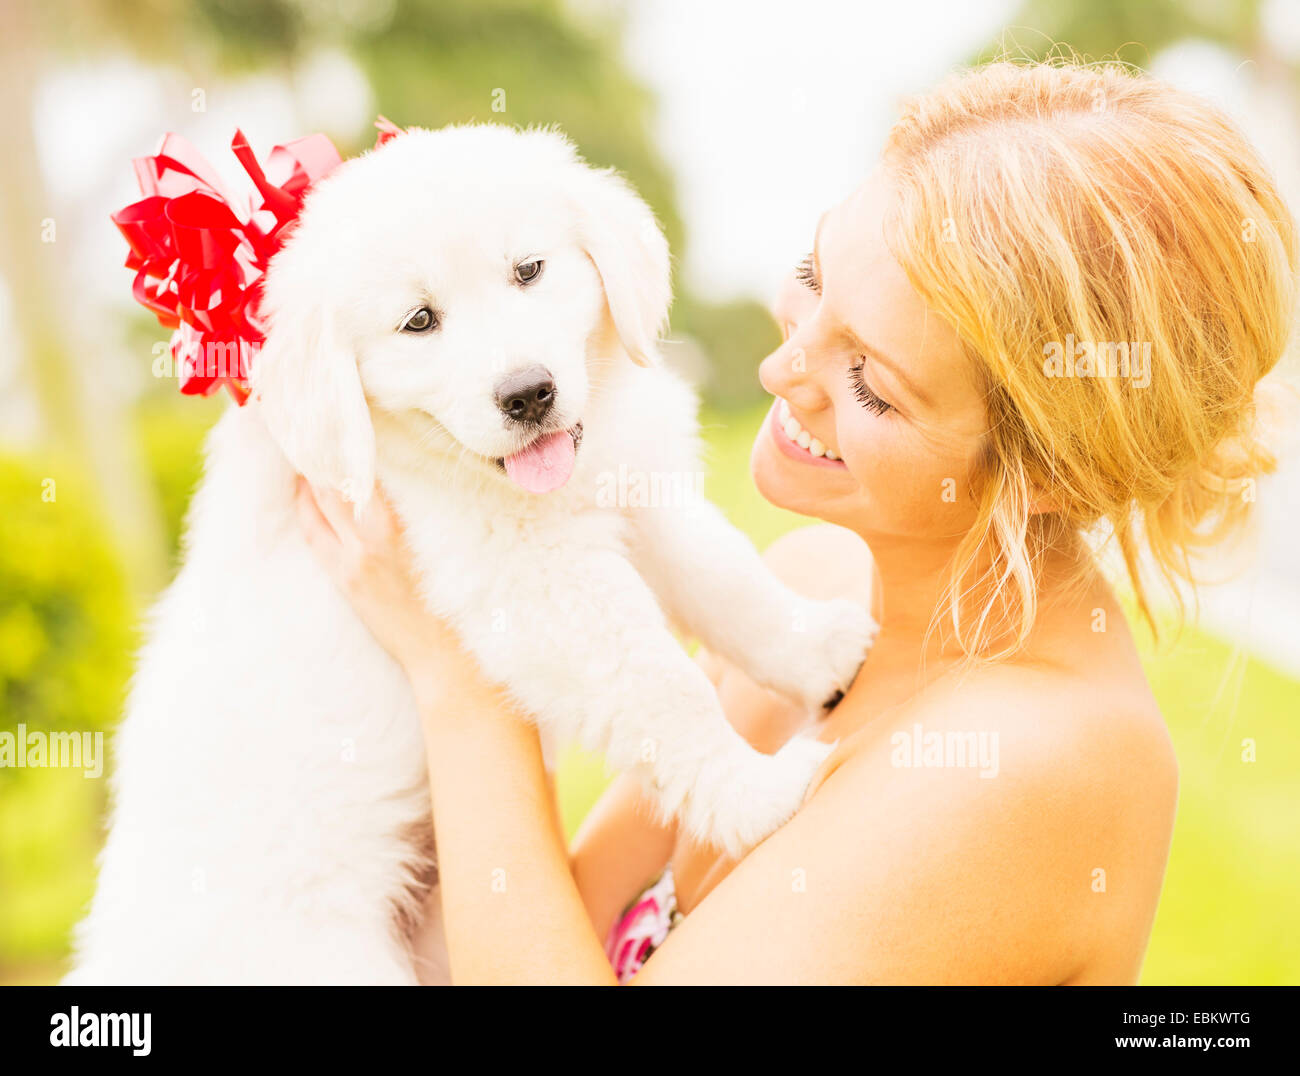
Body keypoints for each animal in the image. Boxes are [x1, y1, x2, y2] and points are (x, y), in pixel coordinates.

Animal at [63, 124, 873, 982]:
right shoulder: (537, 582)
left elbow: (723, 577)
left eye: (529, 271)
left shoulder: (632, 491)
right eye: (419, 321)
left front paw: (819, 647)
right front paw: (757, 794)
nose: (528, 394)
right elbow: (663, 685)